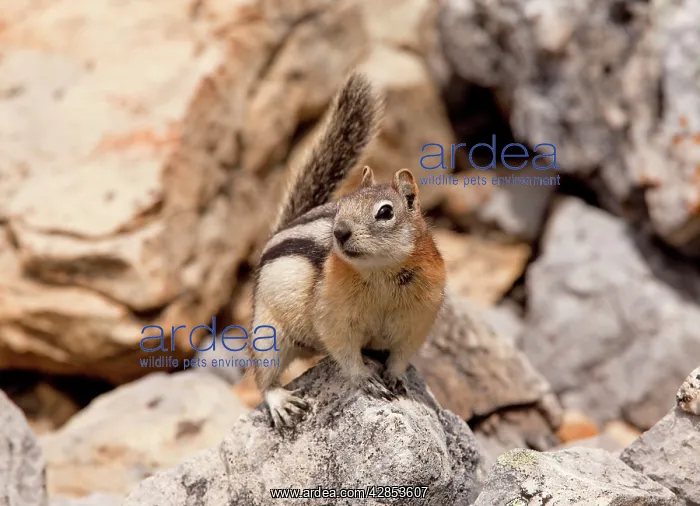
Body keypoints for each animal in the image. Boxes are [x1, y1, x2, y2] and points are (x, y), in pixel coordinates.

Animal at [248, 72, 446, 429]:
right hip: (267, 329)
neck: (381, 273)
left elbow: (402, 354)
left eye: (385, 212)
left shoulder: (418, 320)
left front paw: (395, 376)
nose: (339, 232)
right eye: (341, 205)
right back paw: (281, 402)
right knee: (265, 375)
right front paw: (366, 378)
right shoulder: (334, 317)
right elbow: (345, 351)